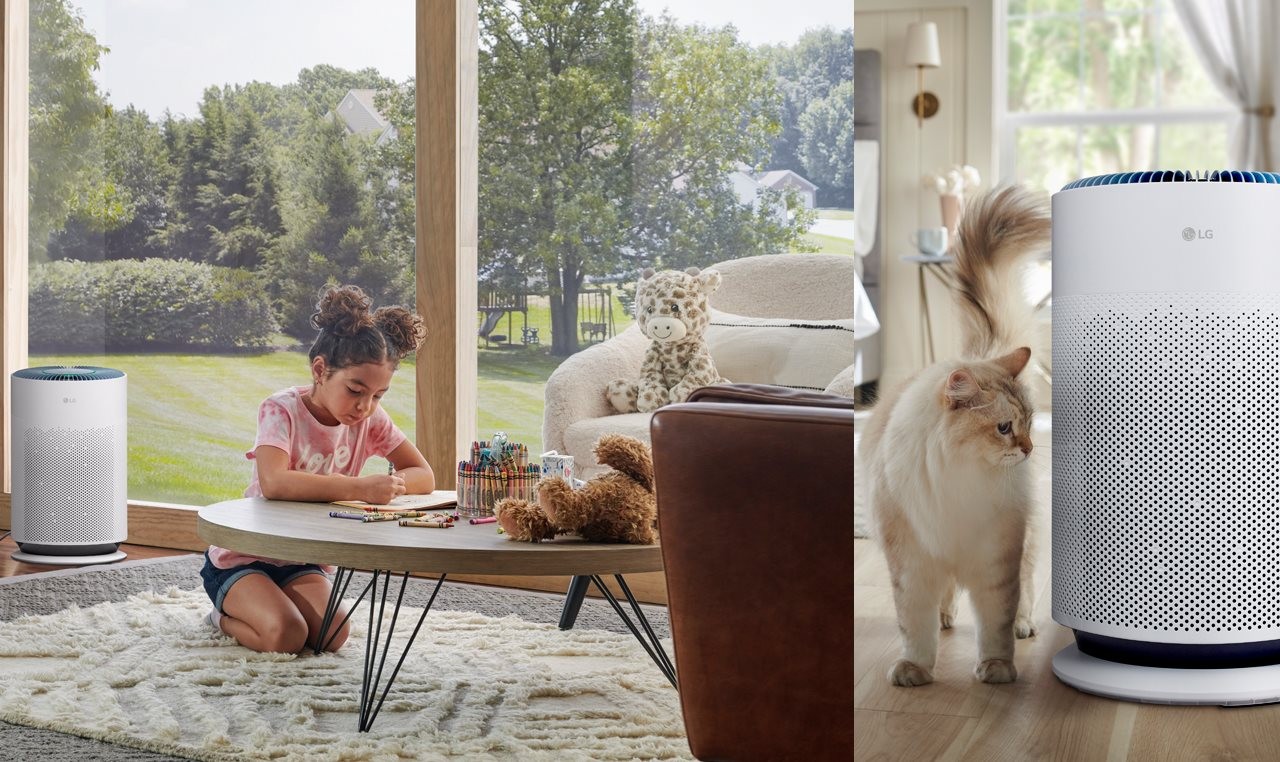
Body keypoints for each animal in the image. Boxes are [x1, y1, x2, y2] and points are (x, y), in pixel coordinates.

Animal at [860, 184, 1049, 686]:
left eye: (1027, 422)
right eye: (1004, 428)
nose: (1027, 449)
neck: (959, 483)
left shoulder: (997, 556)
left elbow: (996, 621)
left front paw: (997, 668)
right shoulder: (912, 560)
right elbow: (915, 624)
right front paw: (915, 670)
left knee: (1026, 590)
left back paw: (1025, 625)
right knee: (945, 597)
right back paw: (947, 619)